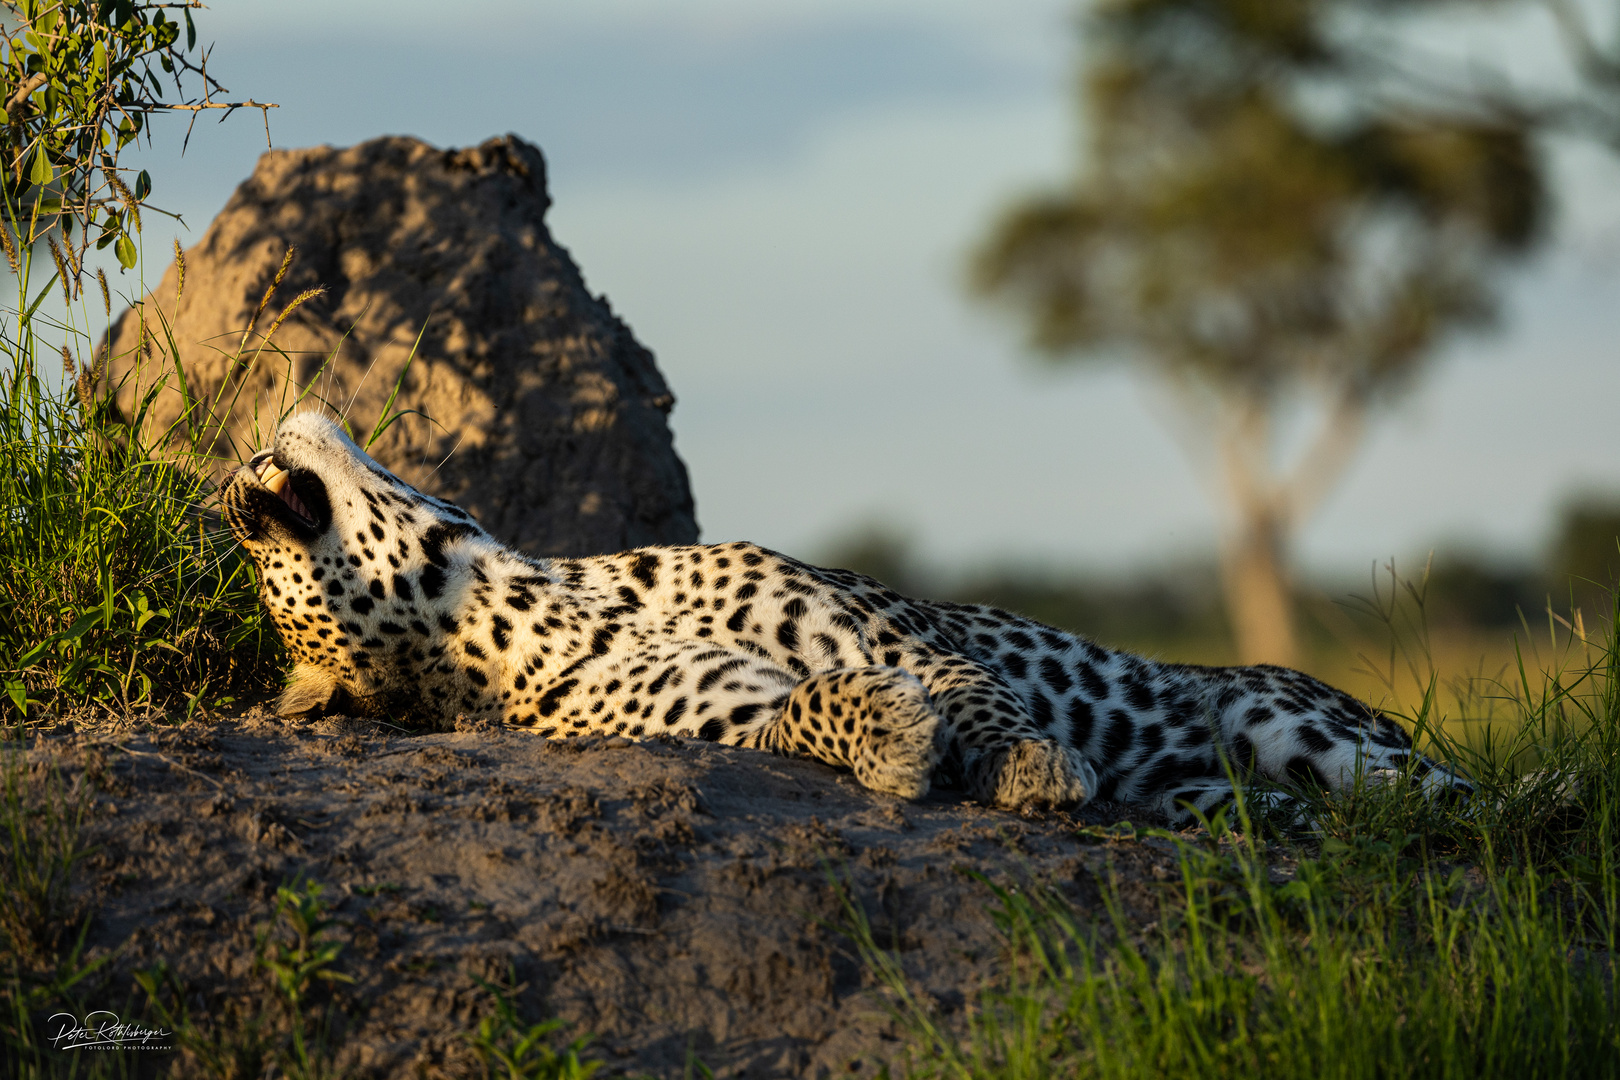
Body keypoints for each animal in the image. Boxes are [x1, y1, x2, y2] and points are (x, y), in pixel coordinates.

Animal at [221, 414, 1477, 829]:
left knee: (1472, 806)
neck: (531, 604)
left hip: (1299, 726)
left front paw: (1027, 768)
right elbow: (806, 715)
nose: (233, 487)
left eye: (257, 556)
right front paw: (892, 741)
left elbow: (977, 697)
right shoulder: (720, 720)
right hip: (1227, 787)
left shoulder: (892, 631)